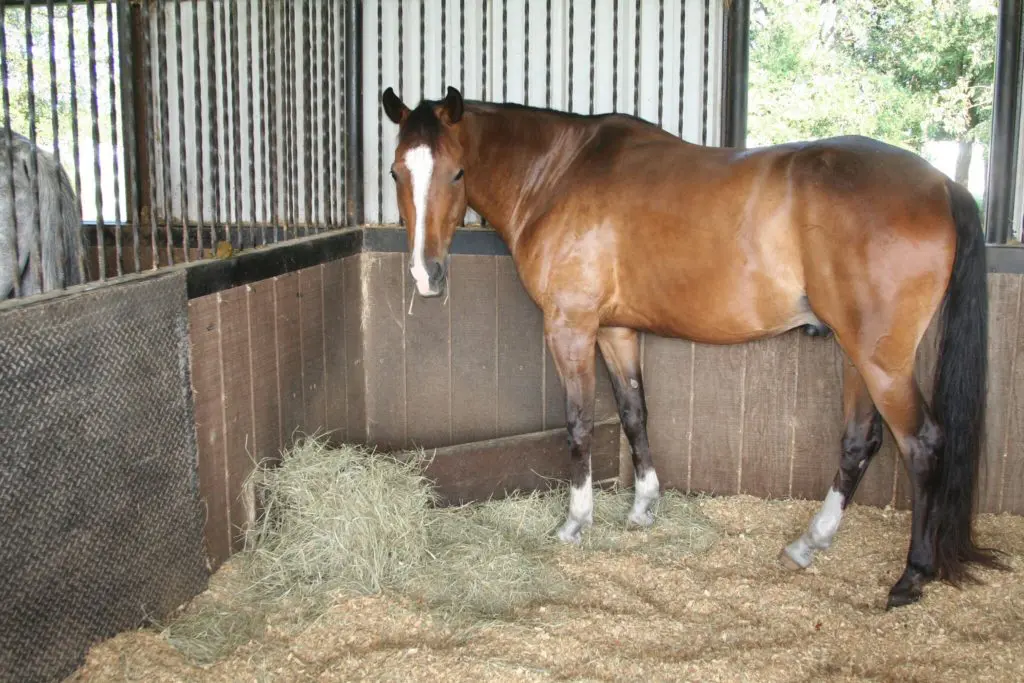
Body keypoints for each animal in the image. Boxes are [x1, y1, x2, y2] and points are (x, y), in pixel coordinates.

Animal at [380, 83, 1003, 610]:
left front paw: (576, 522)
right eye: (395, 172)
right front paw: (644, 508)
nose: (426, 275)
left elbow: (579, 425)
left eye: (458, 173)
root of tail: (942, 184)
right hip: (858, 355)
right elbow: (634, 413)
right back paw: (809, 543)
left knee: (922, 445)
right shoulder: (616, 331)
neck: (559, 173)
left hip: (881, 361)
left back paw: (911, 576)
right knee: (859, 442)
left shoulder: (570, 327)